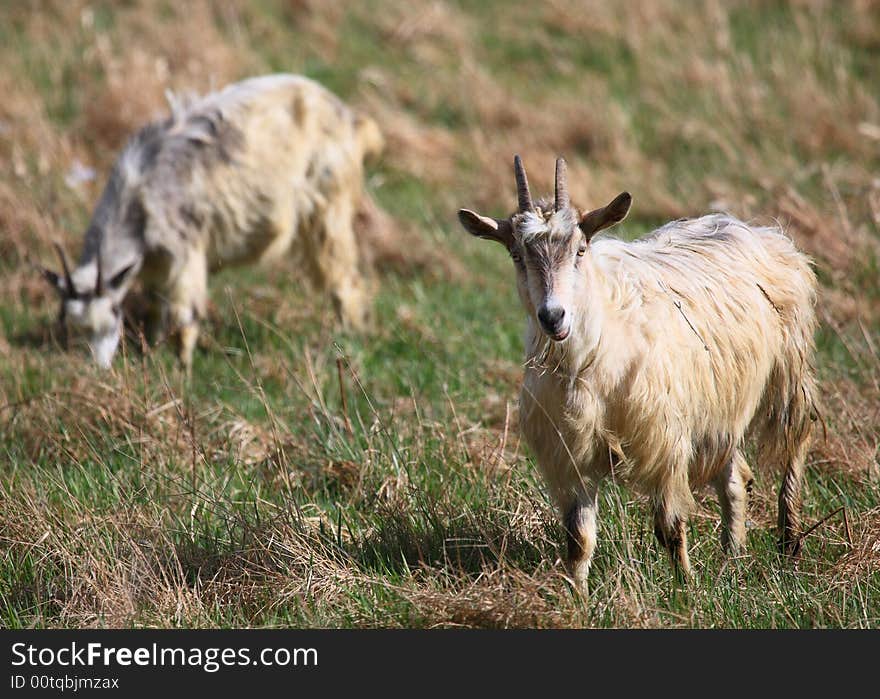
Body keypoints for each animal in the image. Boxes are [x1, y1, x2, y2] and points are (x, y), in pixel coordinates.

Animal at [38, 72, 382, 372]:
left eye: (112, 315)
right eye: (71, 323)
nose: (97, 369)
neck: (138, 191)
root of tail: (349, 119)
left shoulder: (185, 252)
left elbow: (184, 315)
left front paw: (182, 368)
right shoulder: (155, 266)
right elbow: (156, 308)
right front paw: (151, 352)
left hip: (330, 202)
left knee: (342, 275)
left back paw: (348, 333)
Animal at [460, 154, 820, 592]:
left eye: (581, 249)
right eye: (515, 254)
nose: (553, 316)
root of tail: (758, 229)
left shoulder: (664, 440)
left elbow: (670, 526)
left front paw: (685, 589)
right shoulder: (572, 452)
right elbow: (578, 538)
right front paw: (576, 593)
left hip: (789, 371)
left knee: (795, 444)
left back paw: (789, 543)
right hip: (720, 400)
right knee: (735, 477)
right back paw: (732, 557)